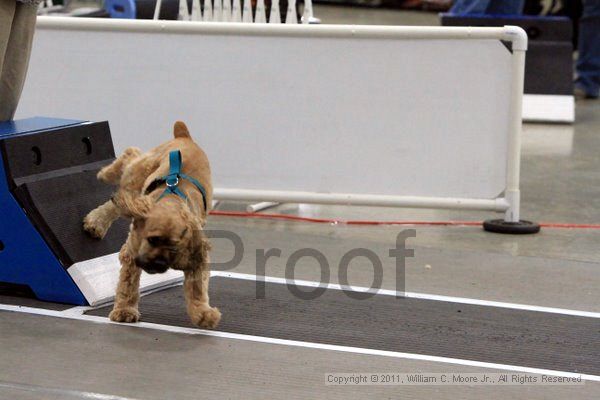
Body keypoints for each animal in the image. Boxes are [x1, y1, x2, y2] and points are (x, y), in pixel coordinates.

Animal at [81, 120, 219, 330]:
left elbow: (197, 289)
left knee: (118, 201)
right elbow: (128, 284)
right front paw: (125, 311)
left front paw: (203, 314)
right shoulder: (131, 252)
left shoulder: (195, 254)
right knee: (130, 155)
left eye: (173, 245)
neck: (171, 200)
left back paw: (96, 223)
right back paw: (105, 175)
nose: (158, 264)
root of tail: (184, 137)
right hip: (138, 173)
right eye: (152, 240)